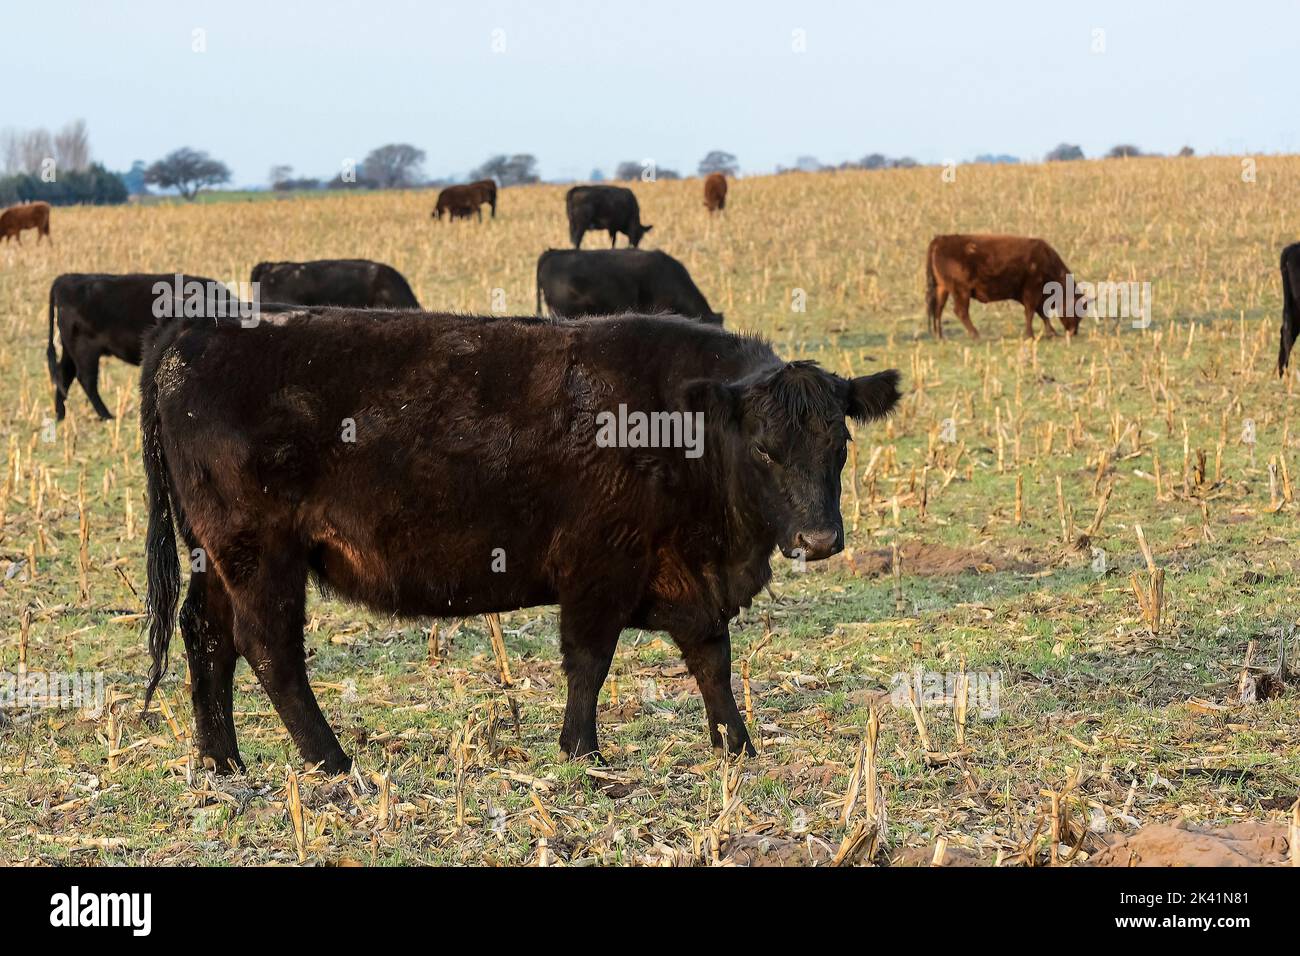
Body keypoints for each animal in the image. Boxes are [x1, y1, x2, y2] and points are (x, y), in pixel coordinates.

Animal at [140, 310, 901, 773]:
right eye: (767, 449)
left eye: (840, 444)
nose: (819, 538)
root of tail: (194, 334)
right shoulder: (599, 566)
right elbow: (589, 661)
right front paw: (581, 751)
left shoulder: (686, 574)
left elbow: (711, 658)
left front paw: (735, 744)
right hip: (259, 553)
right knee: (268, 647)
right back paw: (331, 759)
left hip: (216, 557)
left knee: (207, 638)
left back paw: (222, 761)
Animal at [926, 234, 1087, 339]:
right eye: (1077, 308)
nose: (1074, 331)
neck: (1046, 260)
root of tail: (941, 239)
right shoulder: (1032, 291)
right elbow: (1031, 312)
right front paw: (1030, 334)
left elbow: (1041, 313)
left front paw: (1051, 332)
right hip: (961, 291)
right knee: (960, 311)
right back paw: (975, 335)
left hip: (943, 289)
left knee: (938, 309)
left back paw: (940, 336)